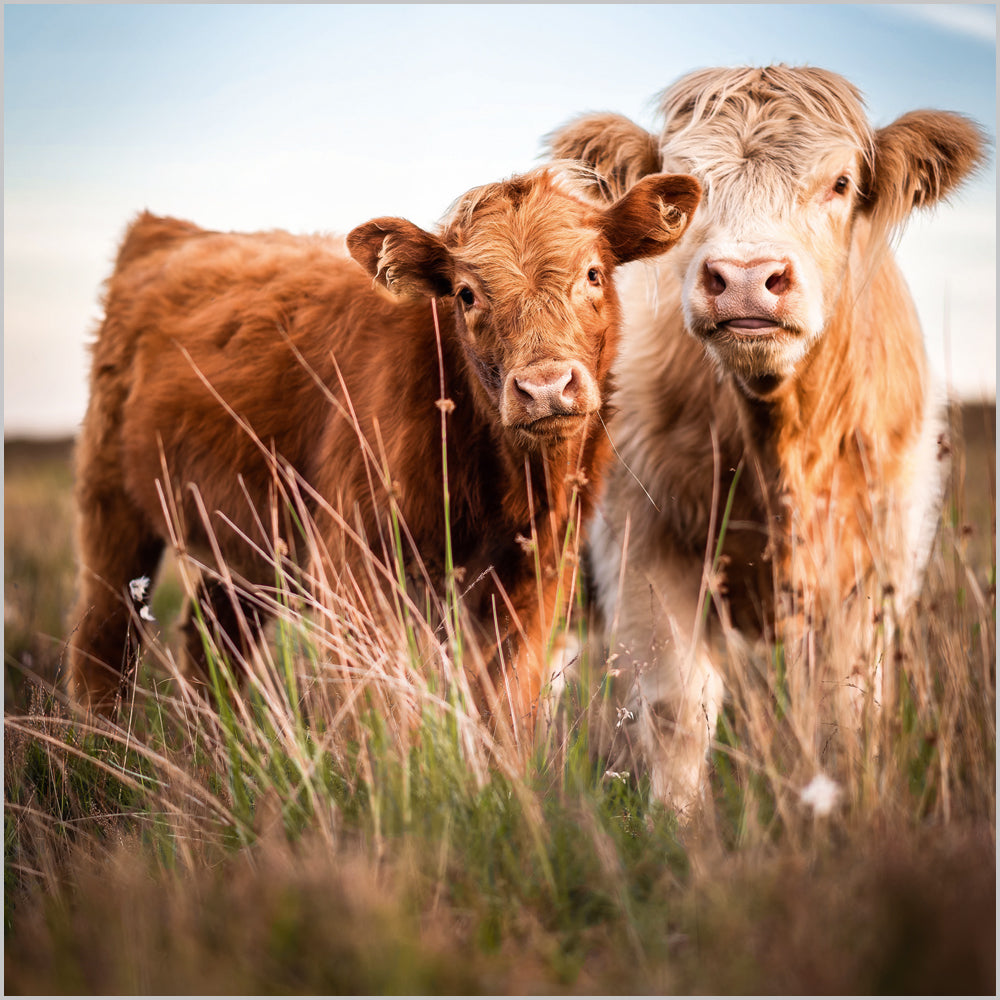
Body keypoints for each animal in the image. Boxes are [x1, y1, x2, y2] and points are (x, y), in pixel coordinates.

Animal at [67, 163, 701, 738]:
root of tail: (170, 229)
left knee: (212, 641)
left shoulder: (535, 582)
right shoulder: (354, 570)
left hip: (245, 544)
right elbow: (387, 718)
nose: (545, 387)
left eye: (593, 273)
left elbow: (508, 716)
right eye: (466, 294)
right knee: (104, 642)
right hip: (111, 507)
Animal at [547, 65, 986, 815]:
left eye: (840, 183)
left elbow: (843, 709)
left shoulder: (878, 560)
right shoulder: (642, 540)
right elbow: (678, 709)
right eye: (679, 188)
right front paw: (676, 826)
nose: (746, 279)